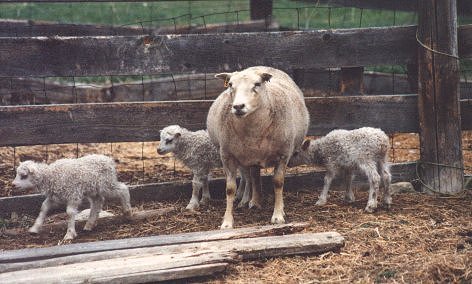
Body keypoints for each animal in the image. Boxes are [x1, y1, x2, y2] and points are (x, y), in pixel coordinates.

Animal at [206, 65, 310, 229]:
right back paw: (253, 201)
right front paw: (227, 222)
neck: (253, 131)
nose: (238, 106)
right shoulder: (227, 156)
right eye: (230, 85)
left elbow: (278, 183)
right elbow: (230, 189)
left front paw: (278, 216)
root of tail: (261, 67)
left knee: (254, 176)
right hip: (248, 156)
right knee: (252, 177)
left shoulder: (283, 154)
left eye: (257, 84)